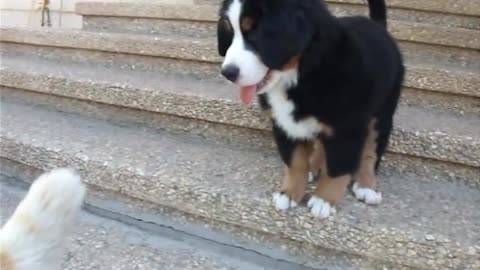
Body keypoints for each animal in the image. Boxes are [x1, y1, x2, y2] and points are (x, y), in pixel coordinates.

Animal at [218, 0, 404, 219]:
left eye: (256, 33)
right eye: (229, 33)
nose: (228, 72)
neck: (302, 73)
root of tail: (377, 25)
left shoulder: (346, 128)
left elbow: (338, 167)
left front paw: (325, 199)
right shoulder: (284, 124)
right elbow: (295, 161)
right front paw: (289, 193)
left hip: (382, 112)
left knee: (371, 150)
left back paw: (366, 185)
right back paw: (314, 166)